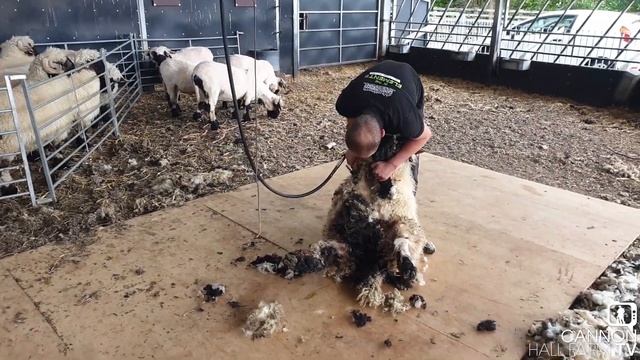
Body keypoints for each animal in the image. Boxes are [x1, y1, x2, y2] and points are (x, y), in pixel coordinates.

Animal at [250, 136, 436, 308]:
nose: (393, 139)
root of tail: (370, 260)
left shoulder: (400, 217)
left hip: (398, 232)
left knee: (400, 245)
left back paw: (407, 270)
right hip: (346, 246)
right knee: (323, 254)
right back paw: (297, 261)